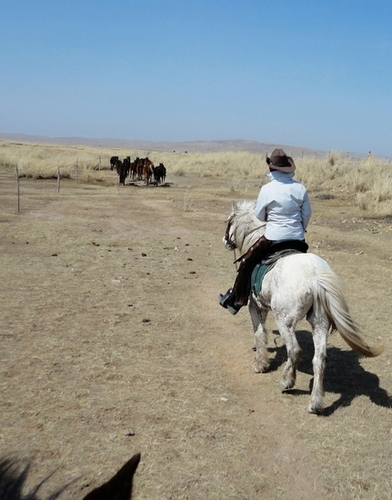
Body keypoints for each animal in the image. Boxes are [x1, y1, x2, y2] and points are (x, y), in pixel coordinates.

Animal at [224, 200, 382, 414]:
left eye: (229, 221)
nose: (225, 241)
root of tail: (315, 276)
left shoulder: (255, 307)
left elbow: (259, 333)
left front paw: (260, 364)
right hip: (320, 322)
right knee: (320, 359)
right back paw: (315, 403)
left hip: (285, 321)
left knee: (295, 351)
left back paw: (287, 382)